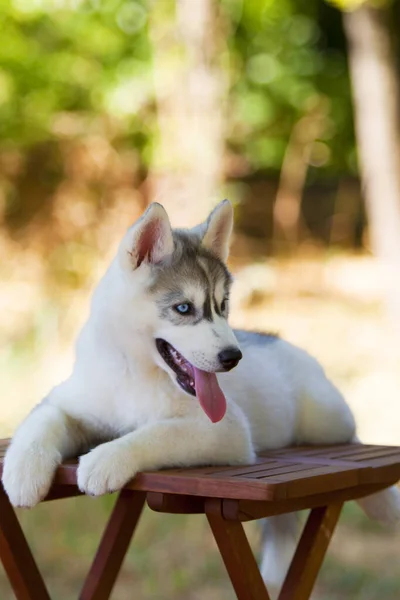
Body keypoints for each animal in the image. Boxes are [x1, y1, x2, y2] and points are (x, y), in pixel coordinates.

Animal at [3, 199, 400, 592]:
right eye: (183, 308)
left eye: (223, 306)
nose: (233, 357)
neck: (136, 375)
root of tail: (273, 337)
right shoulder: (68, 402)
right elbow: (42, 420)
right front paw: (24, 472)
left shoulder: (226, 429)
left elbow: (156, 432)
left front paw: (105, 460)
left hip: (327, 420)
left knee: (352, 439)